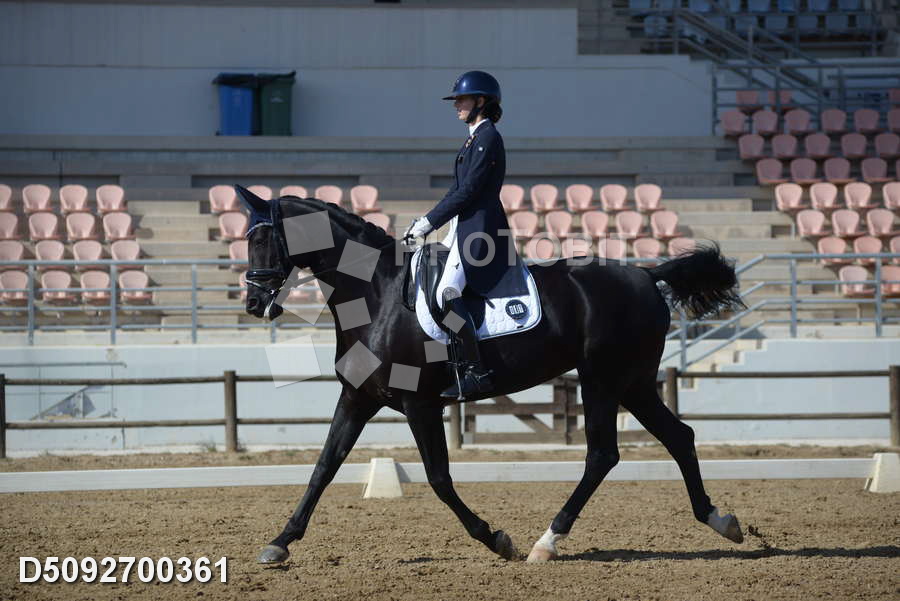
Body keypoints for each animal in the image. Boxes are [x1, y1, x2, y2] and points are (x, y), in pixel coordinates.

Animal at [236, 186, 747, 564]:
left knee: (602, 454)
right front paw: (279, 543)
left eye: (261, 240)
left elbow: (439, 478)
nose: (254, 304)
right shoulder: (358, 396)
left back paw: (546, 542)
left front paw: (496, 538)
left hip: (602, 379)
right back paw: (721, 521)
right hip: (634, 383)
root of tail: (645, 274)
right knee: (678, 437)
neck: (375, 294)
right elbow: (324, 467)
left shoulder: (419, 404)